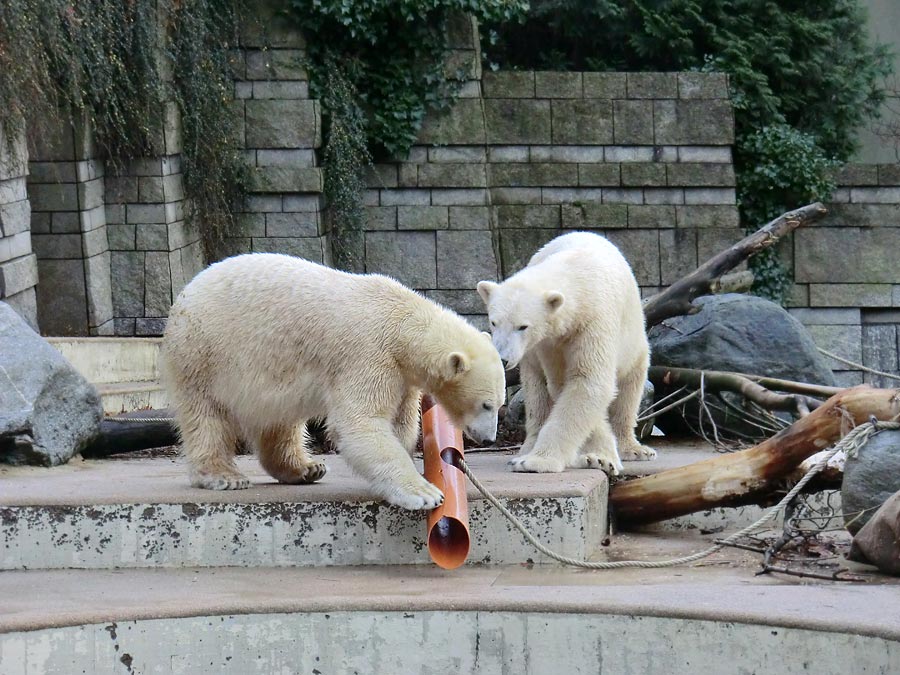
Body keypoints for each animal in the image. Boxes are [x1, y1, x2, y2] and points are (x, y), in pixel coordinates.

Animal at [161, 252, 506, 508]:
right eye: (486, 405)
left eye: (499, 405)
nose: (489, 439)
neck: (401, 321)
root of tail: (185, 293)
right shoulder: (367, 355)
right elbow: (360, 422)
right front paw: (423, 493)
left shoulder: (402, 374)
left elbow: (400, 422)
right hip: (204, 354)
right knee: (207, 416)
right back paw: (223, 475)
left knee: (280, 421)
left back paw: (305, 468)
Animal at [478, 232, 652, 476]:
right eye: (494, 322)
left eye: (523, 326)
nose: (502, 358)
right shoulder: (549, 343)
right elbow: (565, 386)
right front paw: (598, 457)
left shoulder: (594, 322)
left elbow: (588, 382)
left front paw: (536, 462)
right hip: (530, 357)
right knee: (536, 394)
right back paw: (527, 448)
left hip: (634, 340)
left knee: (630, 387)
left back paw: (634, 448)